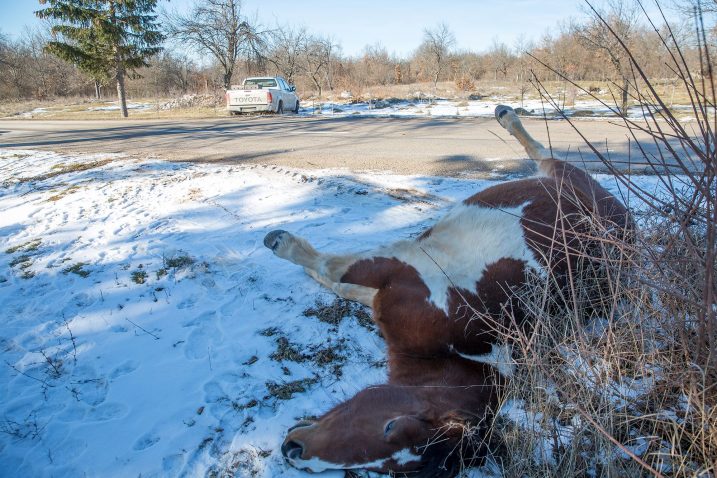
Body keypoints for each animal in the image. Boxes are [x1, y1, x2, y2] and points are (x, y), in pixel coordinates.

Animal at [264, 106, 632, 476]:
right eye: (390, 426)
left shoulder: (398, 274)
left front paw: (291, 251)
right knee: (542, 152)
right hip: (561, 175)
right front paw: (284, 246)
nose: (294, 450)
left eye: (390, 462)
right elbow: (337, 273)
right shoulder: (397, 267)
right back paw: (505, 115)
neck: (463, 346)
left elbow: (337, 274)